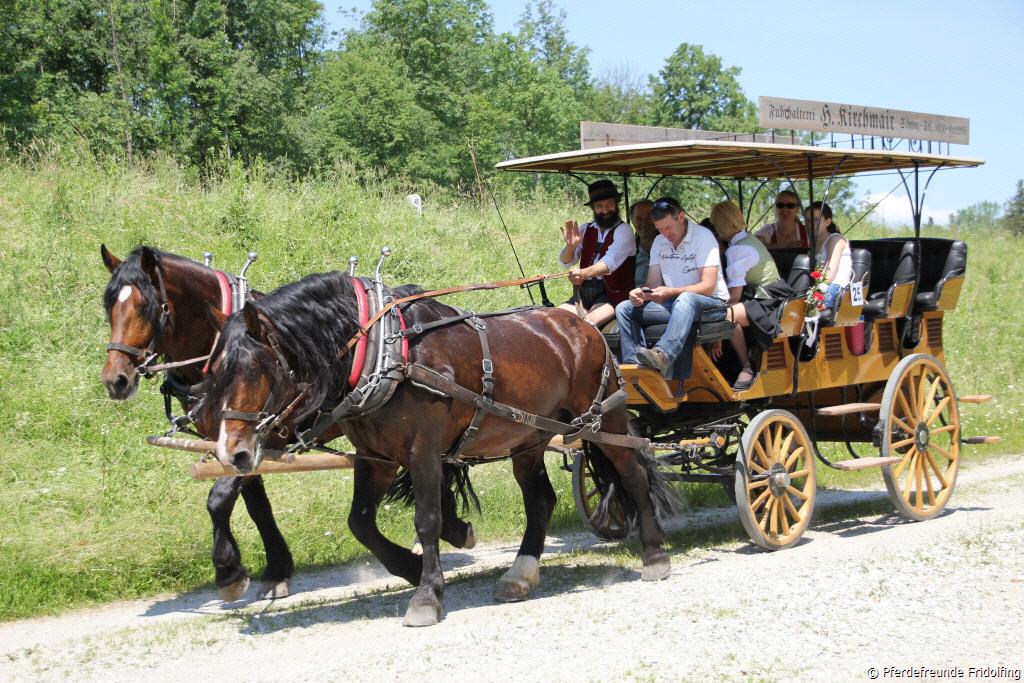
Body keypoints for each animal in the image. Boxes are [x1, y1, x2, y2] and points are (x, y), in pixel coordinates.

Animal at [100, 245, 477, 602]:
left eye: (147, 307)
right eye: (109, 306)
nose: (115, 380)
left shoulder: (265, 436)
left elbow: (219, 498)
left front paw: (229, 572)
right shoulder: (237, 443)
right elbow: (257, 507)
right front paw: (276, 569)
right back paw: (453, 528)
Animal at [200, 271, 673, 626]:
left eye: (257, 368)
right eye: (216, 370)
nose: (231, 453)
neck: (387, 352)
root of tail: (583, 325)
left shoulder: (422, 451)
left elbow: (427, 520)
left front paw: (427, 594)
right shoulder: (377, 458)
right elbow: (360, 523)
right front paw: (412, 568)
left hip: (603, 418)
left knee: (632, 474)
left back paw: (654, 555)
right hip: (530, 436)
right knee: (540, 499)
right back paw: (520, 575)